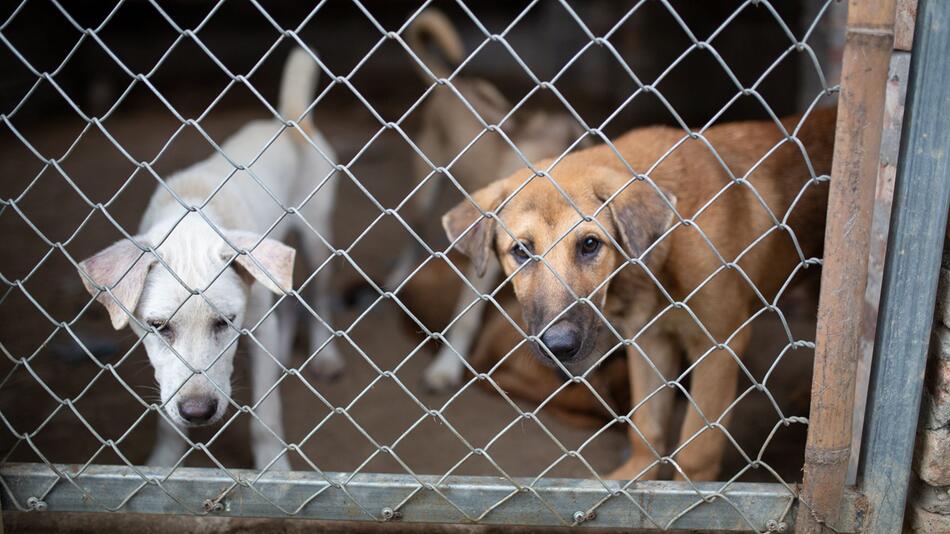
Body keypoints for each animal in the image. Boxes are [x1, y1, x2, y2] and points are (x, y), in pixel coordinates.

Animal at [79, 48, 342, 472]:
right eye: (158, 326)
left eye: (225, 322)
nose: (198, 412)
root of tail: (289, 122)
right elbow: (168, 416)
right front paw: (163, 464)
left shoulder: (257, 325)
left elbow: (266, 414)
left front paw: (274, 470)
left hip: (317, 239)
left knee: (318, 298)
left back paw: (326, 355)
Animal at [384, 9, 580, 390]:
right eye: (524, 248)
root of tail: (450, 82)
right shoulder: (482, 265)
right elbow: (466, 317)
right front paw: (445, 368)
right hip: (424, 190)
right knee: (413, 230)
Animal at [442, 108, 836, 482]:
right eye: (521, 251)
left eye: (590, 244)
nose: (559, 346)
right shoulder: (651, 339)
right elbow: (646, 426)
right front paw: (634, 481)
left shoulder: (719, 345)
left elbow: (697, 448)